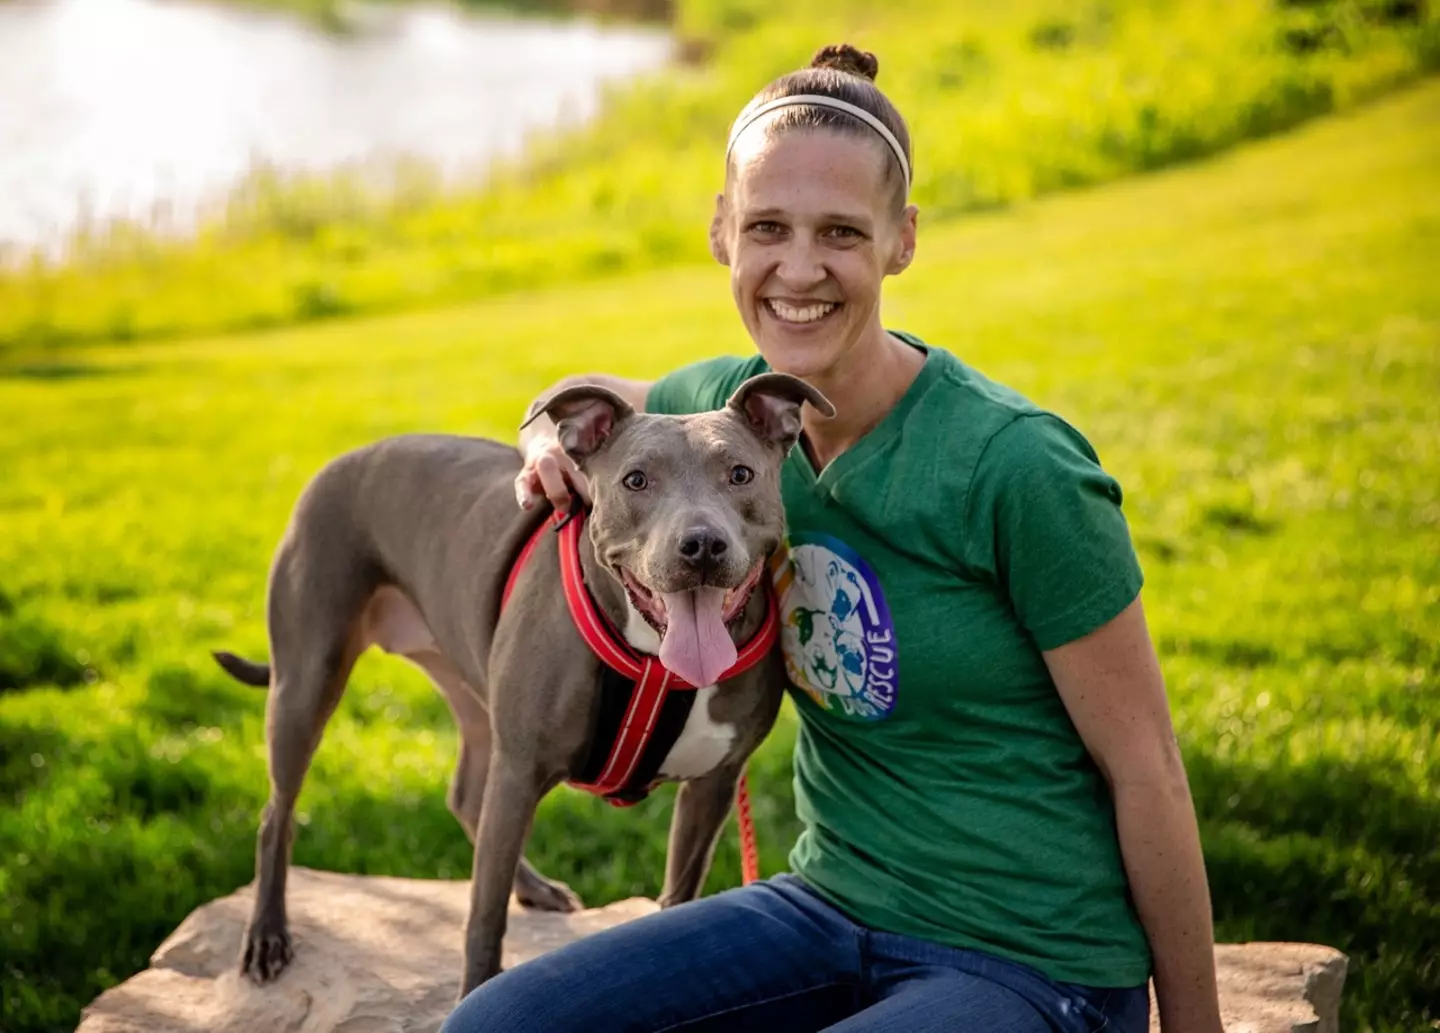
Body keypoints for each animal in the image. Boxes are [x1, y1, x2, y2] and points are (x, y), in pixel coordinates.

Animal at [210, 371, 835, 991]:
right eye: (636, 480)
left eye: (740, 474)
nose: (702, 544)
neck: (657, 661)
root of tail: (345, 458)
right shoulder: (519, 772)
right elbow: (484, 919)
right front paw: (473, 991)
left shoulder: (713, 784)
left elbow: (680, 893)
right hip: (307, 680)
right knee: (277, 814)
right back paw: (267, 936)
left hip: (472, 695)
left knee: (467, 798)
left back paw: (533, 888)